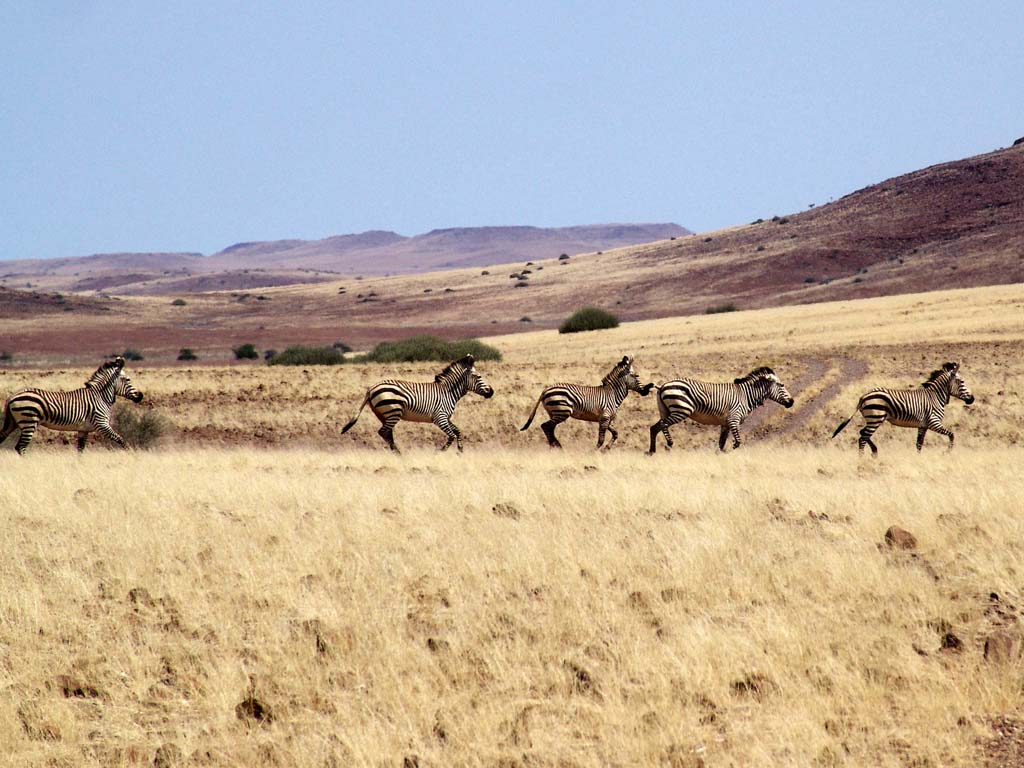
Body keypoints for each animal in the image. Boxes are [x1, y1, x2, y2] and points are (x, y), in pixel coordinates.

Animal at [0, 356, 145, 456]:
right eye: (128, 379)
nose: (140, 396)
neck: (101, 396)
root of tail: (12, 396)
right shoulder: (102, 425)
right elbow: (121, 440)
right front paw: (130, 454)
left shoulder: (83, 430)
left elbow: (80, 450)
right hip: (29, 421)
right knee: (20, 447)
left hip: (13, 422)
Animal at [342, 356, 493, 454]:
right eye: (478, 377)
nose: (491, 391)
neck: (448, 392)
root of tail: (371, 388)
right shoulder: (440, 417)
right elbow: (451, 435)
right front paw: (441, 451)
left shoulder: (445, 417)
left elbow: (458, 431)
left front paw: (460, 450)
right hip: (393, 411)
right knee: (383, 432)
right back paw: (398, 453)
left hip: (383, 414)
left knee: (387, 432)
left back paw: (396, 452)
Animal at [520, 356, 655, 448]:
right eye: (636, 376)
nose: (646, 391)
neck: (612, 394)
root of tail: (545, 390)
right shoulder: (605, 417)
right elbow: (601, 439)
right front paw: (596, 451)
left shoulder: (606, 419)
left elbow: (615, 434)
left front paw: (607, 448)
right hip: (562, 412)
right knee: (545, 426)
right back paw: (556, 446)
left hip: (555, 413)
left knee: (549, 428)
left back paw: (556, 445)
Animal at [643, 364, 794, 454]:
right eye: (781, 385)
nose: (792, 402)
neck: (746, 396)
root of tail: (663, 385)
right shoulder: (734, 419)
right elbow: (737, 442)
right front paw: (730, 453)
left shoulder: (726, 423)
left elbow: (721, 443)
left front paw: (719, 456)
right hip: (681, 410)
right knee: (663, 425)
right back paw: (668, 444)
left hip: (665, 410)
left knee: (654, 427)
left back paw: (652, 451)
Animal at [831, 362, 974, 454]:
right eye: (962, 382)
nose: (972, 399)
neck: (935, 397)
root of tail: (863, 397)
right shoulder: (934, 423)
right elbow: (952, 435)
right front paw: (948, 451)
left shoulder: (923, 425)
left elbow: (919, 444)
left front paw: (918, 459)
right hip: (876, 418)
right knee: (862, 438)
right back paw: (862, 459)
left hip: (874, 419)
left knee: (863, 434)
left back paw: (874, 451)